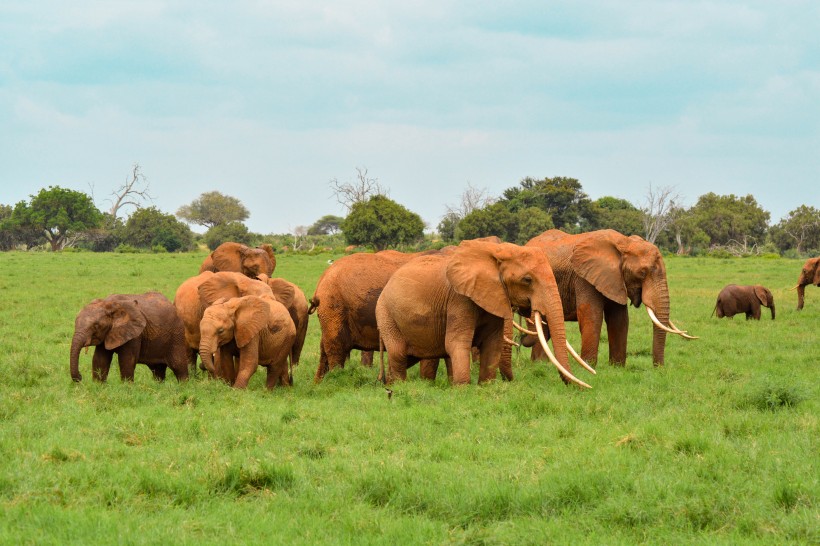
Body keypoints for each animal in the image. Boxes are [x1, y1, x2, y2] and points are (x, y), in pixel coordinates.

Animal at [378, 239, 588, 386]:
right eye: (527, 280)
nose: (579, 387)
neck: (495, 254)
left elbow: (493, 344)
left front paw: (486, 386)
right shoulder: (459, 298)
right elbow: (456, 343)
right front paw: (462, 389)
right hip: (385, 314)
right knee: (398, 353)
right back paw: (399, 387)